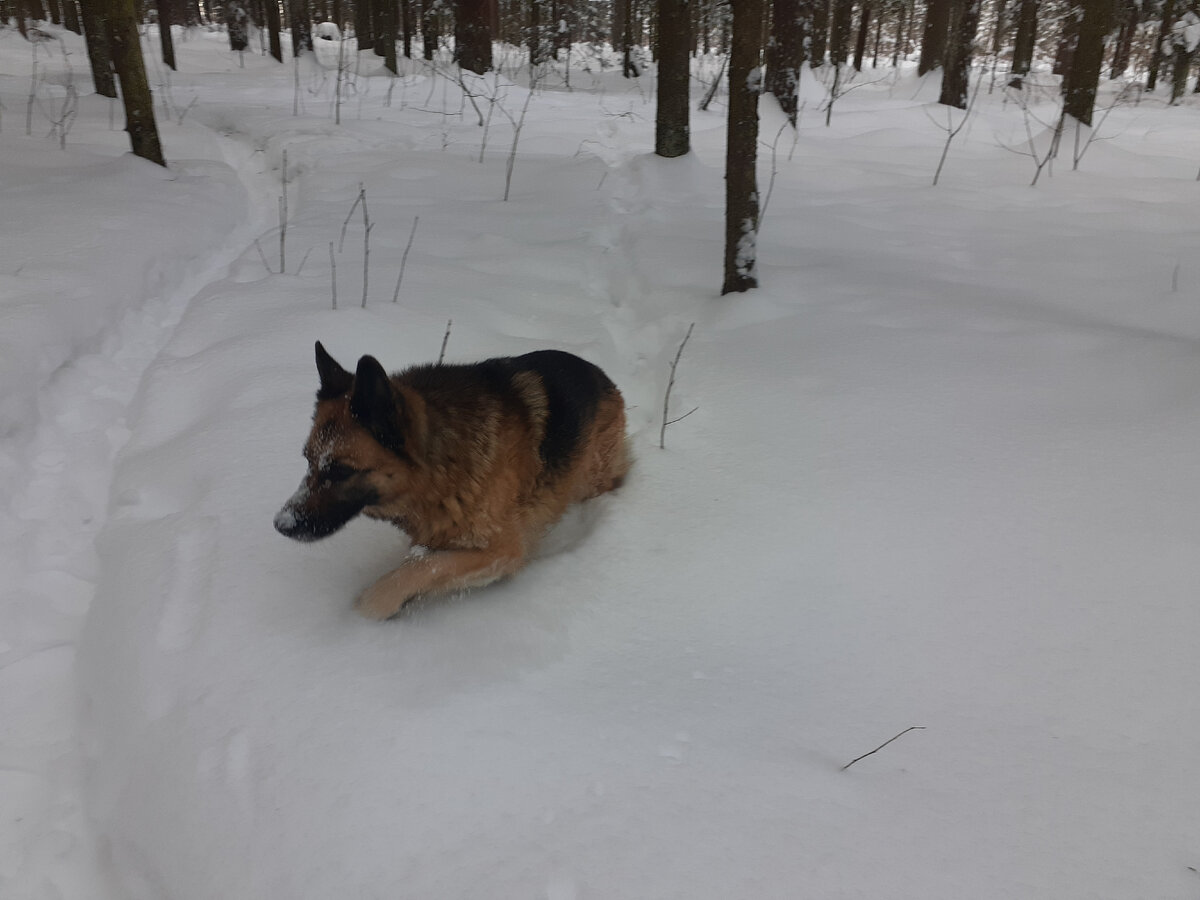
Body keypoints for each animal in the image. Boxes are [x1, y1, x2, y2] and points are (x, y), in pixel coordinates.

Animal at [272, 340, 628, 619]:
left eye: (340, 471)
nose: (281, 524)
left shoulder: (500, 550)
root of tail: (600, 374)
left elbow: (420, 568)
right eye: (308, 460)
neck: (442, 464)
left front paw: (370, 608)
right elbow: (421, 560)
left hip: (592, 478)